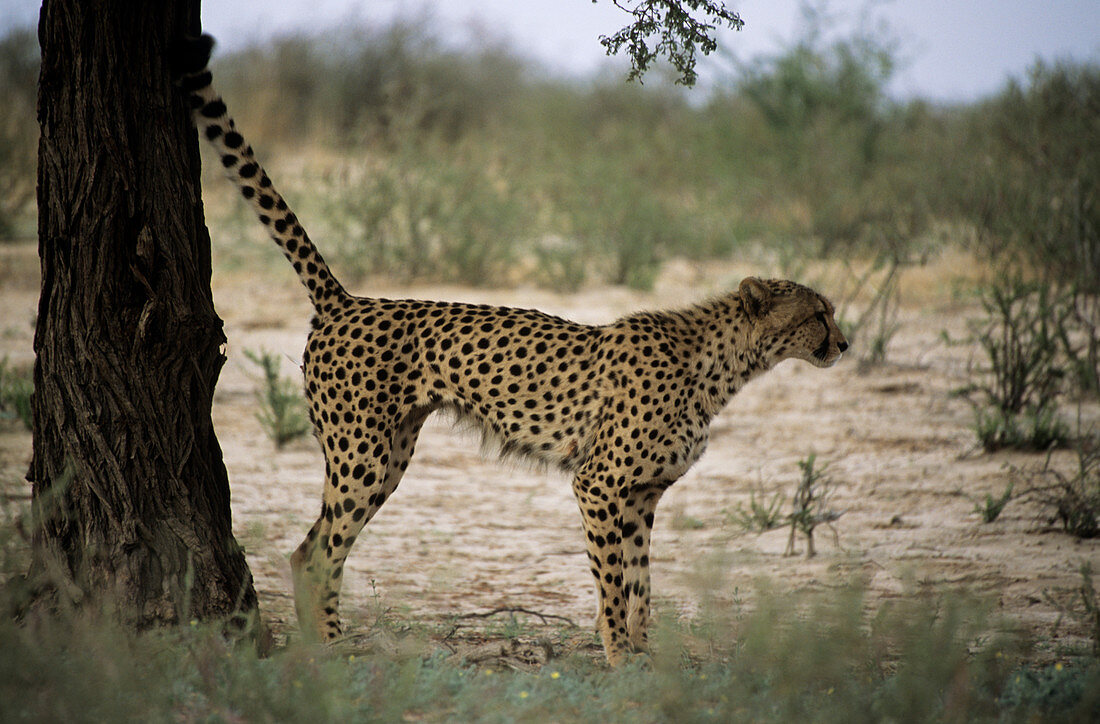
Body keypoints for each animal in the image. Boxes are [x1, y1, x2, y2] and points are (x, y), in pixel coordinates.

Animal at [173, 36, 849, 664]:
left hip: (390, 455)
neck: (721, 364)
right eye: (818, 314)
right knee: (315, 552)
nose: (844, 343)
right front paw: (617, 656)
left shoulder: (643, 495)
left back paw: (323, 648)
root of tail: (349, 300)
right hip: (361, 453)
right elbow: (612, 583)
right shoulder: (599, 485)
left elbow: (642, 583)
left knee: (308, 548)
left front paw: (645, 655)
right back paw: (333, 651)